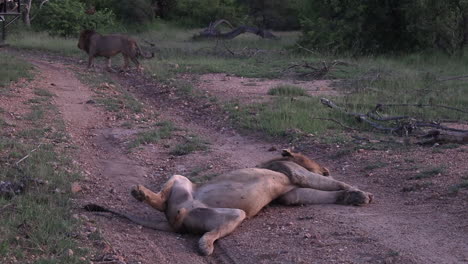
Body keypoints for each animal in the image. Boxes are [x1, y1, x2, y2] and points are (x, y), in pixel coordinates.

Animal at [85, 151, 372, 256]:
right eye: (314, 159)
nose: (326, 167)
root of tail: (174, 219)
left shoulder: (291, 194)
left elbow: (317, 194)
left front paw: (354, 197)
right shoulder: (295, 173)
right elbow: (329, 182)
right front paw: (359, 192)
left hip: (209, 204)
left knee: (171, 207)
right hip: (208, 199)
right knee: (167, 205)